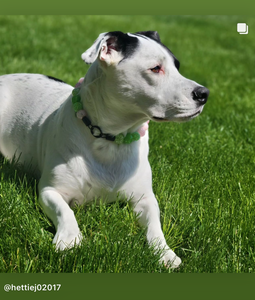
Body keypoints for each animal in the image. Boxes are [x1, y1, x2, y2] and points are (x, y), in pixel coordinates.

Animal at [0, 31, 209, 270]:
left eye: (177, 66)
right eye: (156, 68)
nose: (204, 93)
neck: (110, 140)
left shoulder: (145, 198)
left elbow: (155, 225)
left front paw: (164, 251)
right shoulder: (49, 190)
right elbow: (65, 211)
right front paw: (70, 238)